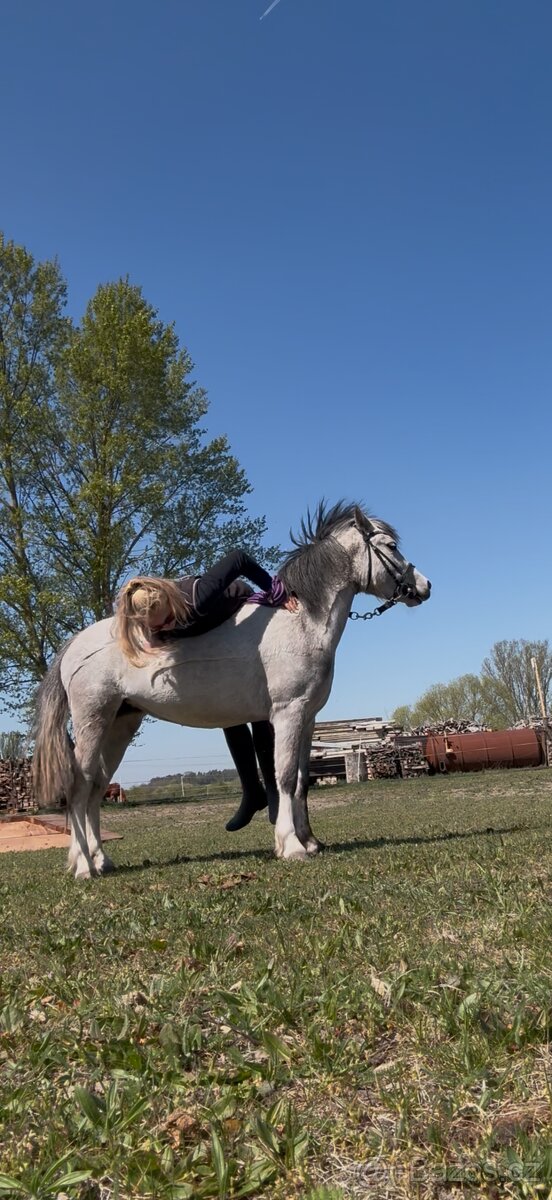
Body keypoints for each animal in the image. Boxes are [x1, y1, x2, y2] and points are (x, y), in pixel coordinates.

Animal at [32, 502, 431, 879]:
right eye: (392, 546)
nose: (425, 586)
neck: (300, 621)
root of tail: (75, 644)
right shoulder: (287, 714)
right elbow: (285, 776)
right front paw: (291, 845)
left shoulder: (307, 719)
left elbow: (302, 781)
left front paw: (310, 841)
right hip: (93, 722)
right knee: (79, 787)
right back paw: (84, 867)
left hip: (120, 725)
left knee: (96, 789)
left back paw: (99, 859)